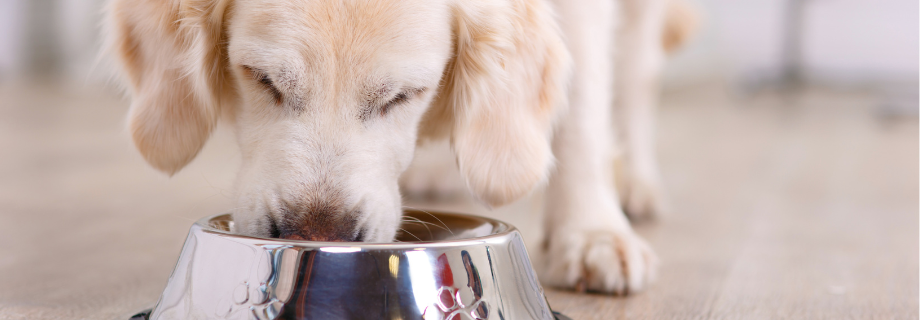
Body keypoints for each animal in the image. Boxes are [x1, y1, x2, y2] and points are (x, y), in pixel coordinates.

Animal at [104, 0, 692, 296]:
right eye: (262, 78)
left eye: (403, 95)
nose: (318, 236)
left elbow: (584, 103)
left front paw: (591, 233)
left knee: (637, 70)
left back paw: (635, 184)